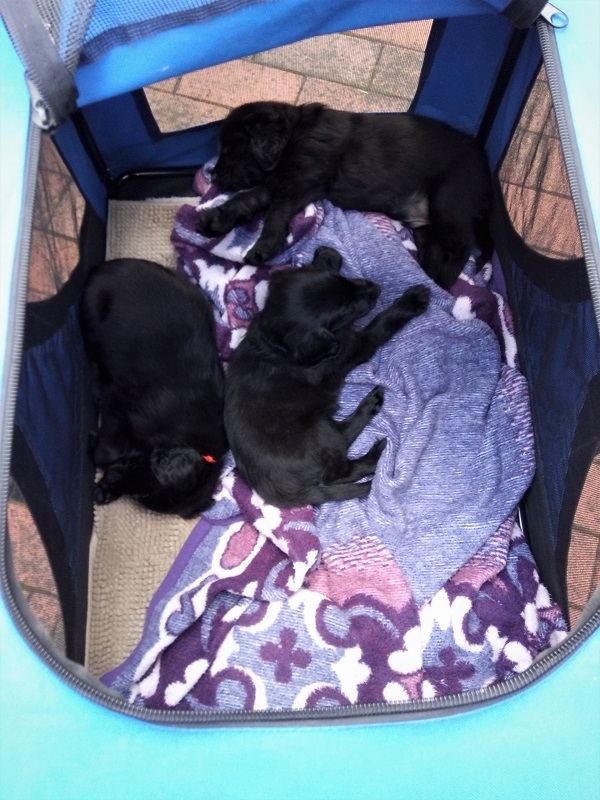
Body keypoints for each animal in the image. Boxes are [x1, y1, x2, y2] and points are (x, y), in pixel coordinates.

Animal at [80, 258, 227, 518]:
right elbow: (109, 451)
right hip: (91, 312)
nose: (109, 483)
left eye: (141, 497)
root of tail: (105, 265)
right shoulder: (116, 402)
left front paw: (106, 490)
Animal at [197, 101, 493, 289]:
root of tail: (485, 164)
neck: (296, 134)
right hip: (424, 225)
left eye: (232, 149)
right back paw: (428, 278)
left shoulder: (299, 182)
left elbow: (274, 214)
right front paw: (216, 219)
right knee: (435, 248)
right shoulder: (283, 182)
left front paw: (263, 247)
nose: (214, 177)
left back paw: (445, 284)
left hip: (450, 200)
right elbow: (246, 198)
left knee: (462, 246)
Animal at [224, 247, 430, 508]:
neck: (275, 343)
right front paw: (411, 301)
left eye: (342, 280)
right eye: (346, 310)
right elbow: (381, 323)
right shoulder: (354, 346)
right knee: (340, 463)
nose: (376, 288)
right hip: (320, 430)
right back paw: (373, 439)